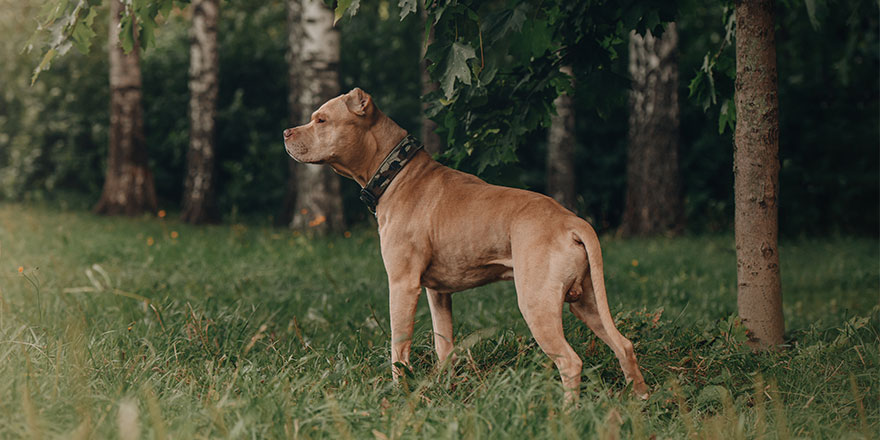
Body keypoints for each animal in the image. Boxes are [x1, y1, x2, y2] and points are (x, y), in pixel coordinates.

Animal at [286, 87, 648, 400]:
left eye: (321, 120)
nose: (287, 132)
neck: (396, 173)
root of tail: (573, 222)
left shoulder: (402, 285)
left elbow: (398, 345)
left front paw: (398, 391)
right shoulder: (438, 294)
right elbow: (444, 346)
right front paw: (444, 389)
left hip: (538, 304)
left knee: (570, 361)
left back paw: (567, 413)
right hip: (587, 303)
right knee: (623, 345)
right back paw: (640, 399)